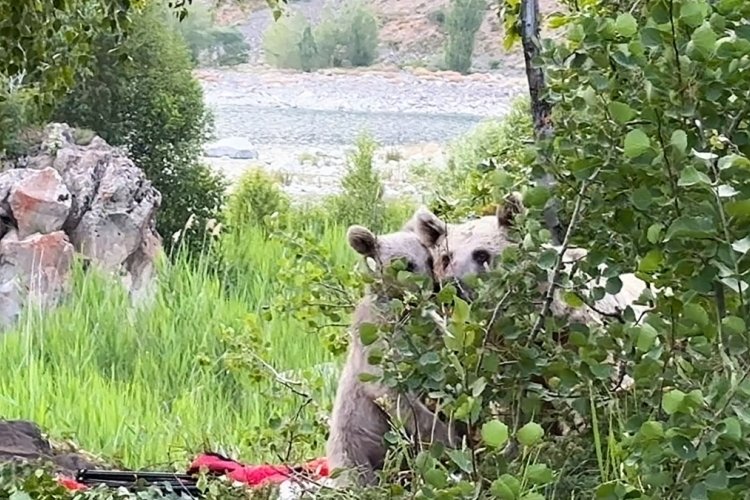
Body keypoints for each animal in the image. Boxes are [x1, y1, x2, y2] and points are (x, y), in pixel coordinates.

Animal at [328, 223, 464, 488]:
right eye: (405, 264)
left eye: (429, 259)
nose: (432, 287)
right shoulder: (376, 339)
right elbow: (392, 392)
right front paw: (447, 436)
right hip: (352, 445)